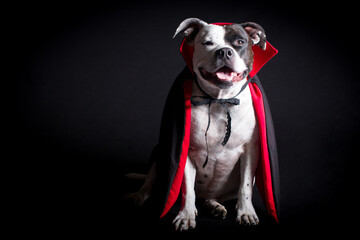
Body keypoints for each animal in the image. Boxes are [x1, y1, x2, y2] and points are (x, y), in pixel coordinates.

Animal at [125, 17, 278, 232]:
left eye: (239, 42)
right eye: (207, 43)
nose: (224, 51)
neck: (219, 100)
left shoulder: (251, 150)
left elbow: (245, 186)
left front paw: (246, 212)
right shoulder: (185, 150)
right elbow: (187, 189)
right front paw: (186, 215)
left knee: (211, 197)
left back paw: (215, 206)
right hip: (160, 150)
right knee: (150, 179)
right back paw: (139, 196)